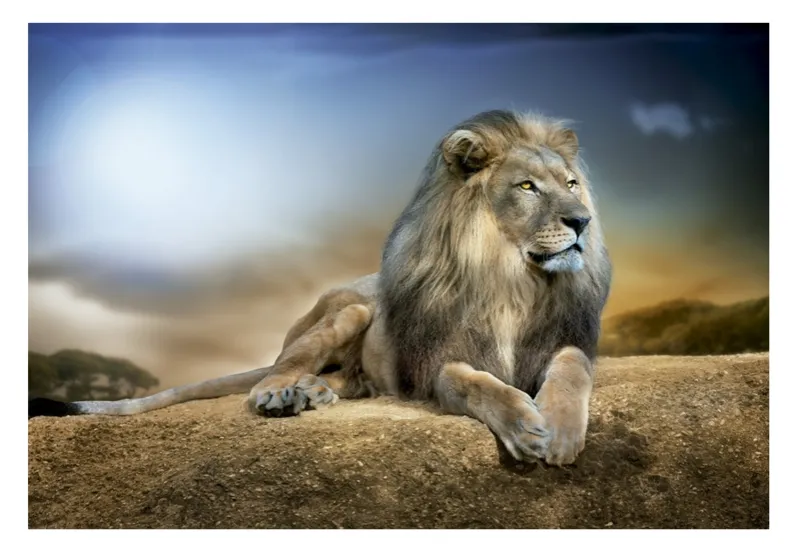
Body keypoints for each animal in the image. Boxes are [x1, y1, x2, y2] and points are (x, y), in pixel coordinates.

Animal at [29, 110, 611, 466]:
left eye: (572, 184)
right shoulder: (434, 365)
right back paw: (283, 394)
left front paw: (559, 430)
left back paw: (316, 392)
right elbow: (477, 384)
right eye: (527, 186)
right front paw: (525, 425)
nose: (582, 221)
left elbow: (571, 371)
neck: (511, 278)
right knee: (275, 372)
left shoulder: (564, 340)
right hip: (348, 311)